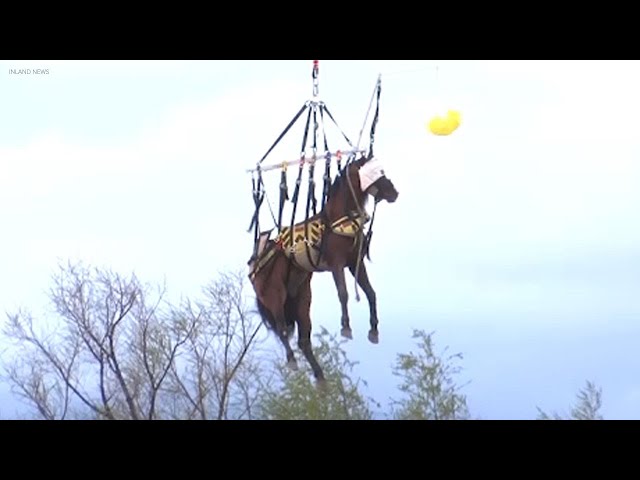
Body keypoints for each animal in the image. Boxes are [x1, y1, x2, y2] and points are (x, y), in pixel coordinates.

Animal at [248, 156, 398, 384]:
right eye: (375, 172)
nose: (393, 193)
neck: (338, 218)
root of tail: (255, 265)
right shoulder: (336, 264)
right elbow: (343, 293)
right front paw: (346, 327)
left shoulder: (355, 263)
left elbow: (371, 293)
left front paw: (373, 330)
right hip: (274, 297)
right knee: (283, 330)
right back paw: (292, 361)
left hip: (301, 299)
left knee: (303, 340)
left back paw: (320, 378)